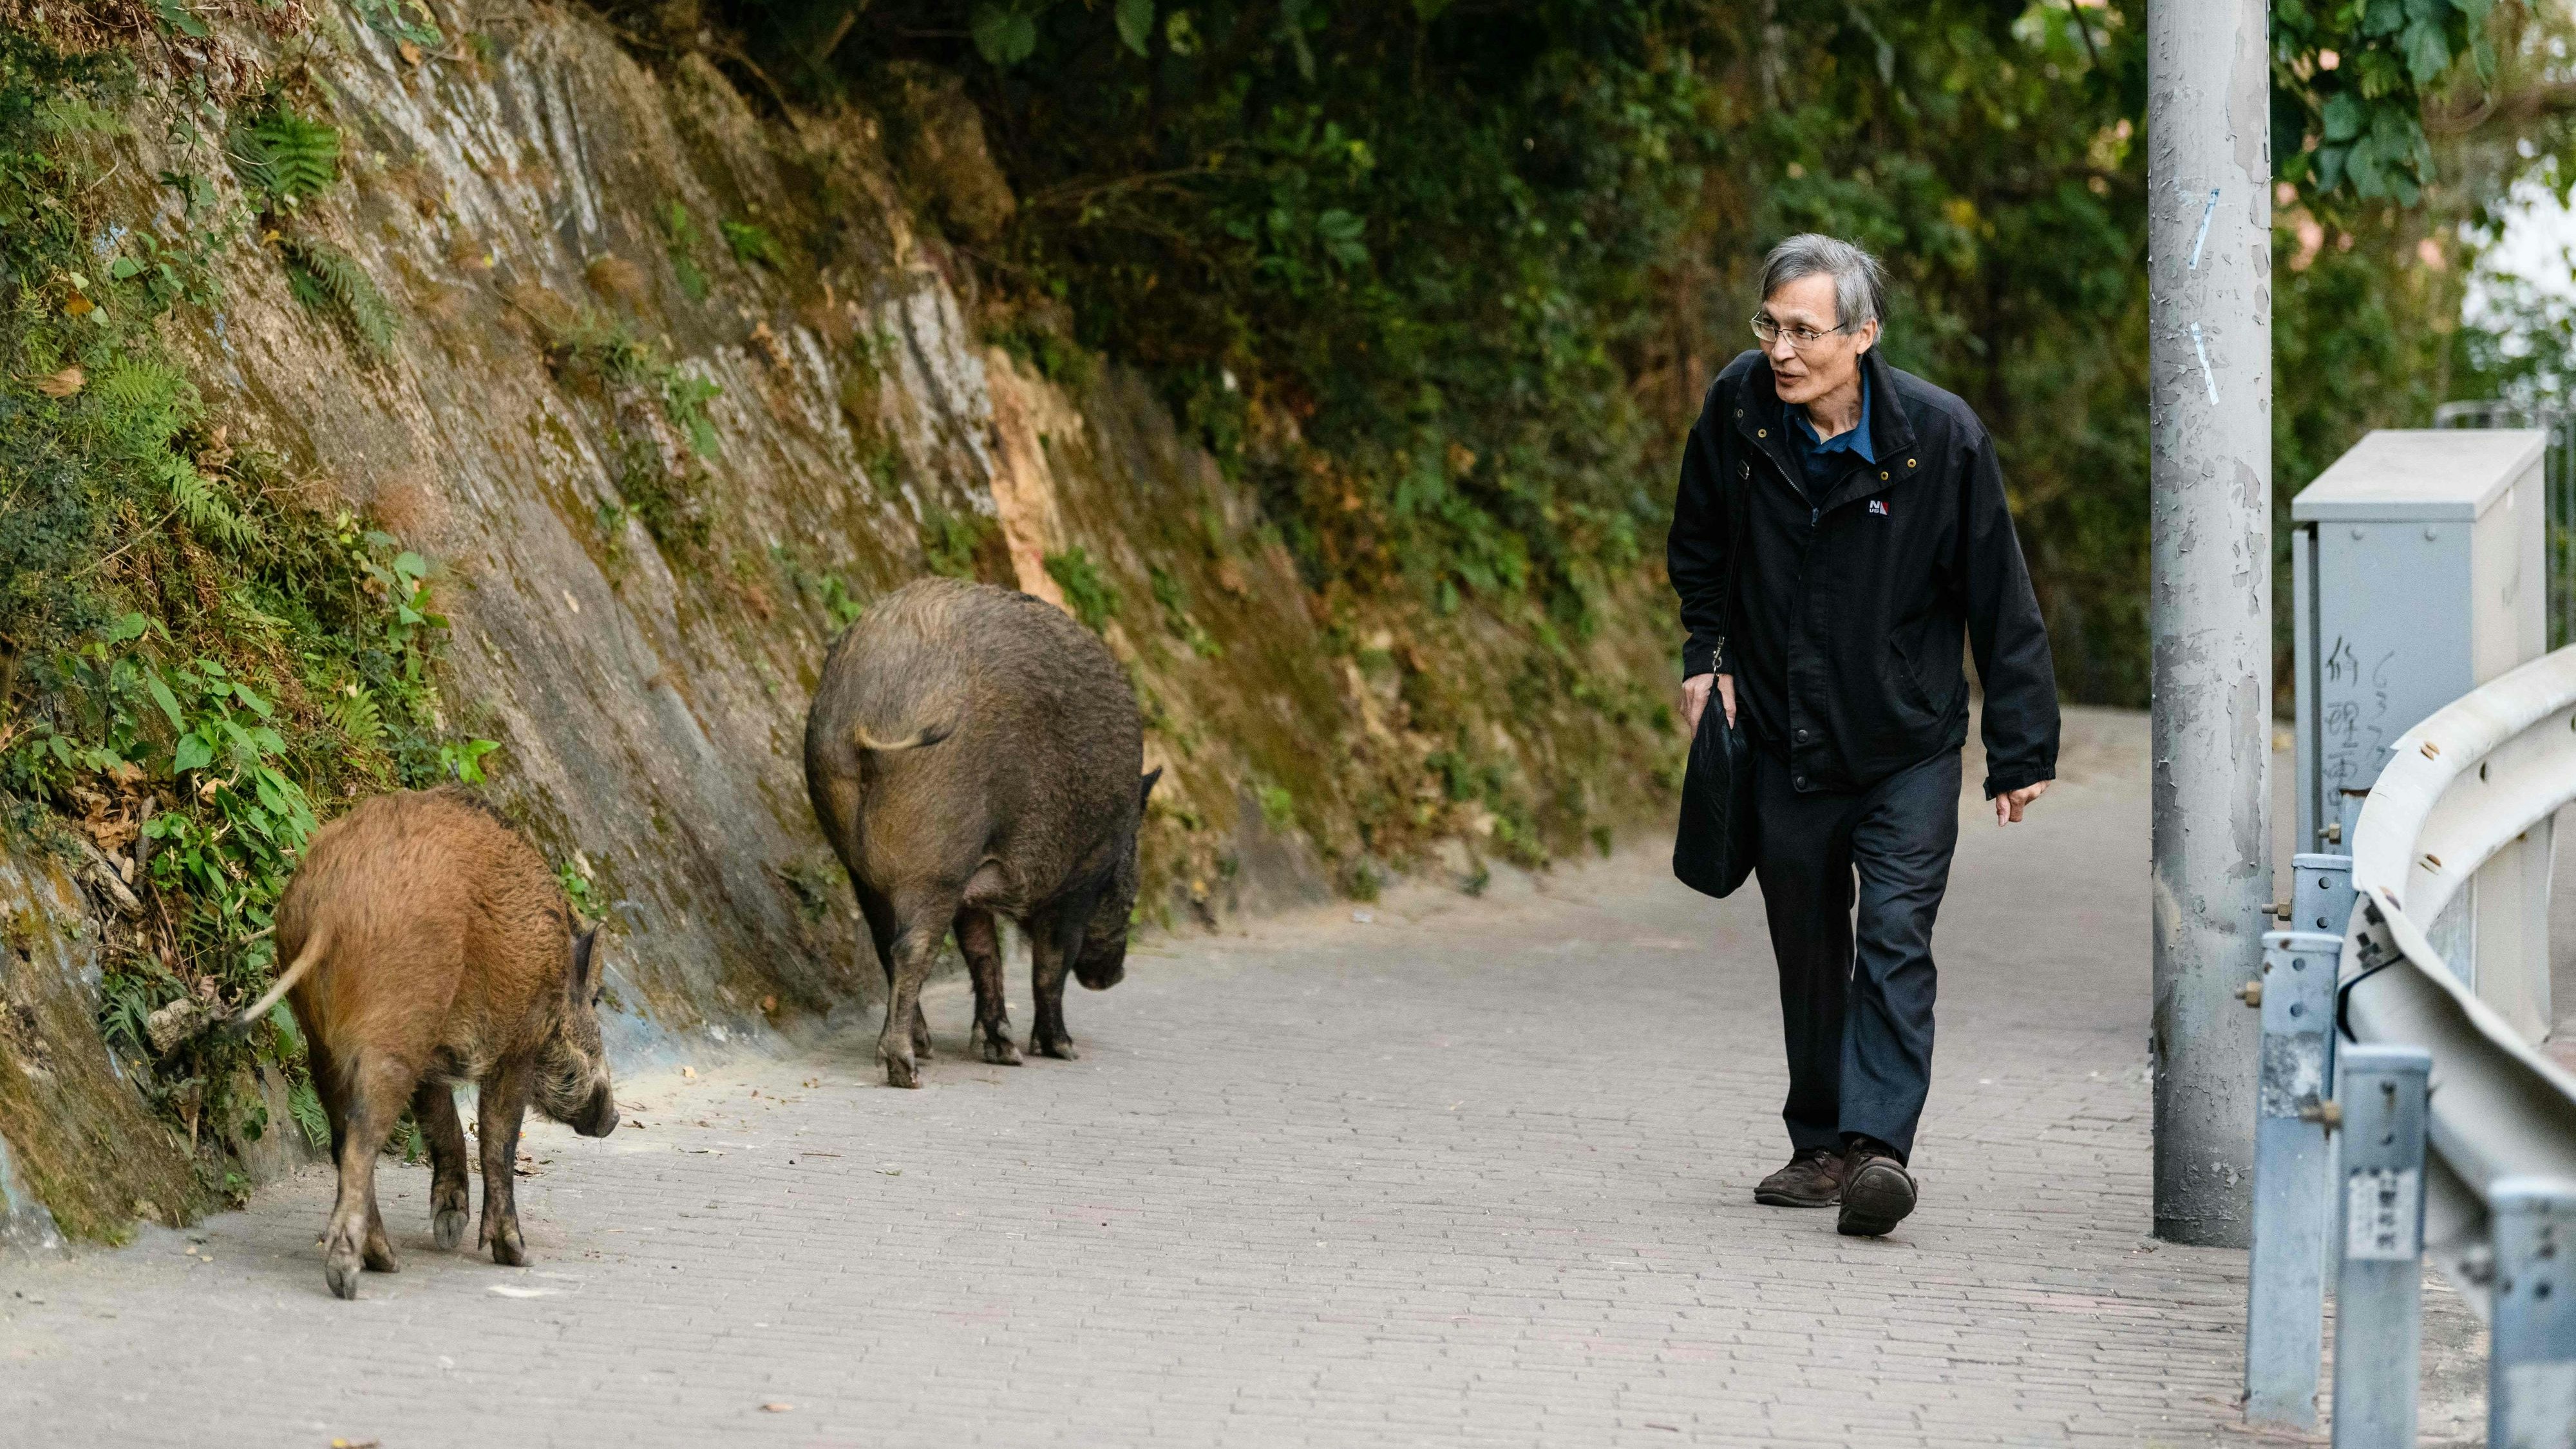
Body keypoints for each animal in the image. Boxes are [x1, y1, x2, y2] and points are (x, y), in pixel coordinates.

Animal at [233, 788, 619, 1299]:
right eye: (594, 1000)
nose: (614, 1119)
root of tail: (330, 909)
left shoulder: (434, 1058)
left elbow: (444, 1124)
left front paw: (450, 1231)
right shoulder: (516, 1046)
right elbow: (498, 1139)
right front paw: (517, 1256)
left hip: (324, 1043)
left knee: (341, 1139)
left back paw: (387, 1261)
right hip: (392, 1033)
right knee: (359, 1142)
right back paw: (351, 1277)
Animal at [804, 577, 1159, 1088]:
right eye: (1131, 893)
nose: (1116, 976)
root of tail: (865, 713)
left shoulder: (978, 881)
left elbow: (984, 954)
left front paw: (1004, 1053)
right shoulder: (1080, 877)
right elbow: (1051, 961)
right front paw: (1062, 1050)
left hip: (861, 862)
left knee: (885, 944)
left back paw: (922, 1048)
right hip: (939, 858)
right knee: (911, 948)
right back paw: (907, 1070)